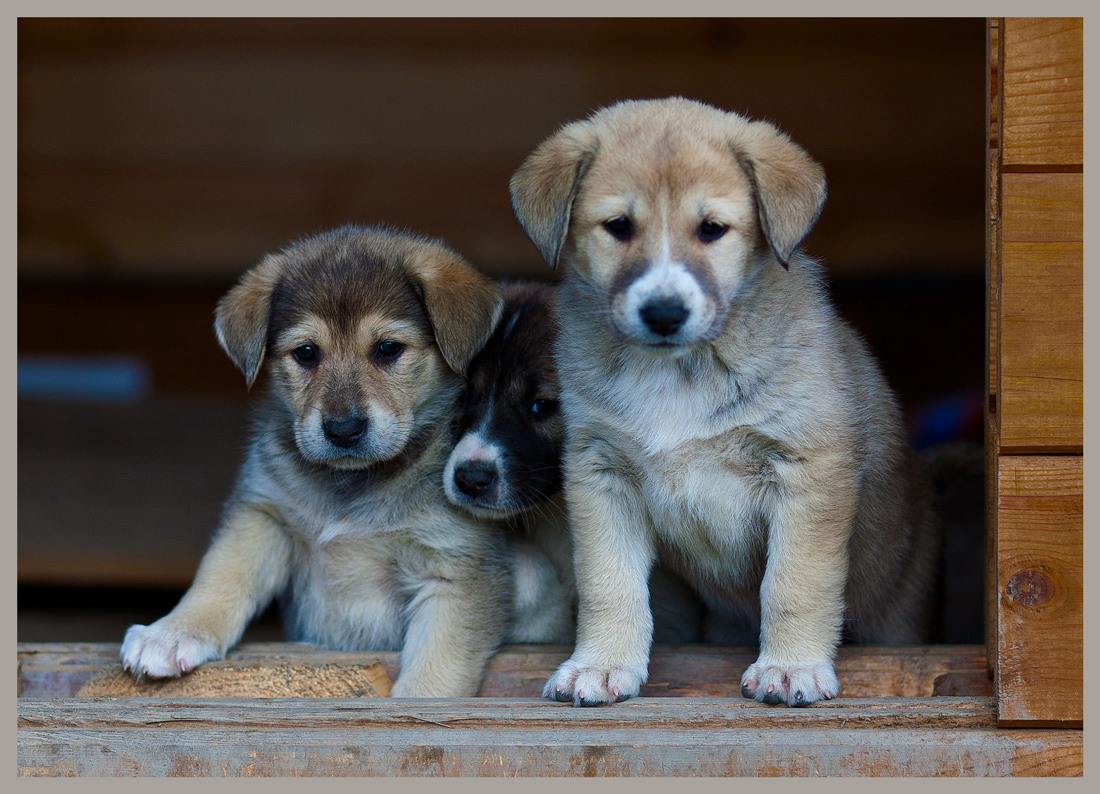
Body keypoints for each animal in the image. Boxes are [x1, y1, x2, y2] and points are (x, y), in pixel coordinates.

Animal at [120, 222, 514, 695]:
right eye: (306, 352)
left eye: (388, 349)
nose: (343, 430)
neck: (350, 485)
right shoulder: (263, 516)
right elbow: (221, 575)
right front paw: (173, 632)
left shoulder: (455, 571)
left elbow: (433, 675)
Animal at [510, 97, 941, 703]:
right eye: (619, 226)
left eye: (712, 229)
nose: (664, 312)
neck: (679, 371)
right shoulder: (600, 473)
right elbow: (609, 584)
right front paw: (601, 664)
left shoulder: (807, 473)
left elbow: (793, 583)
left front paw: (791, 666)